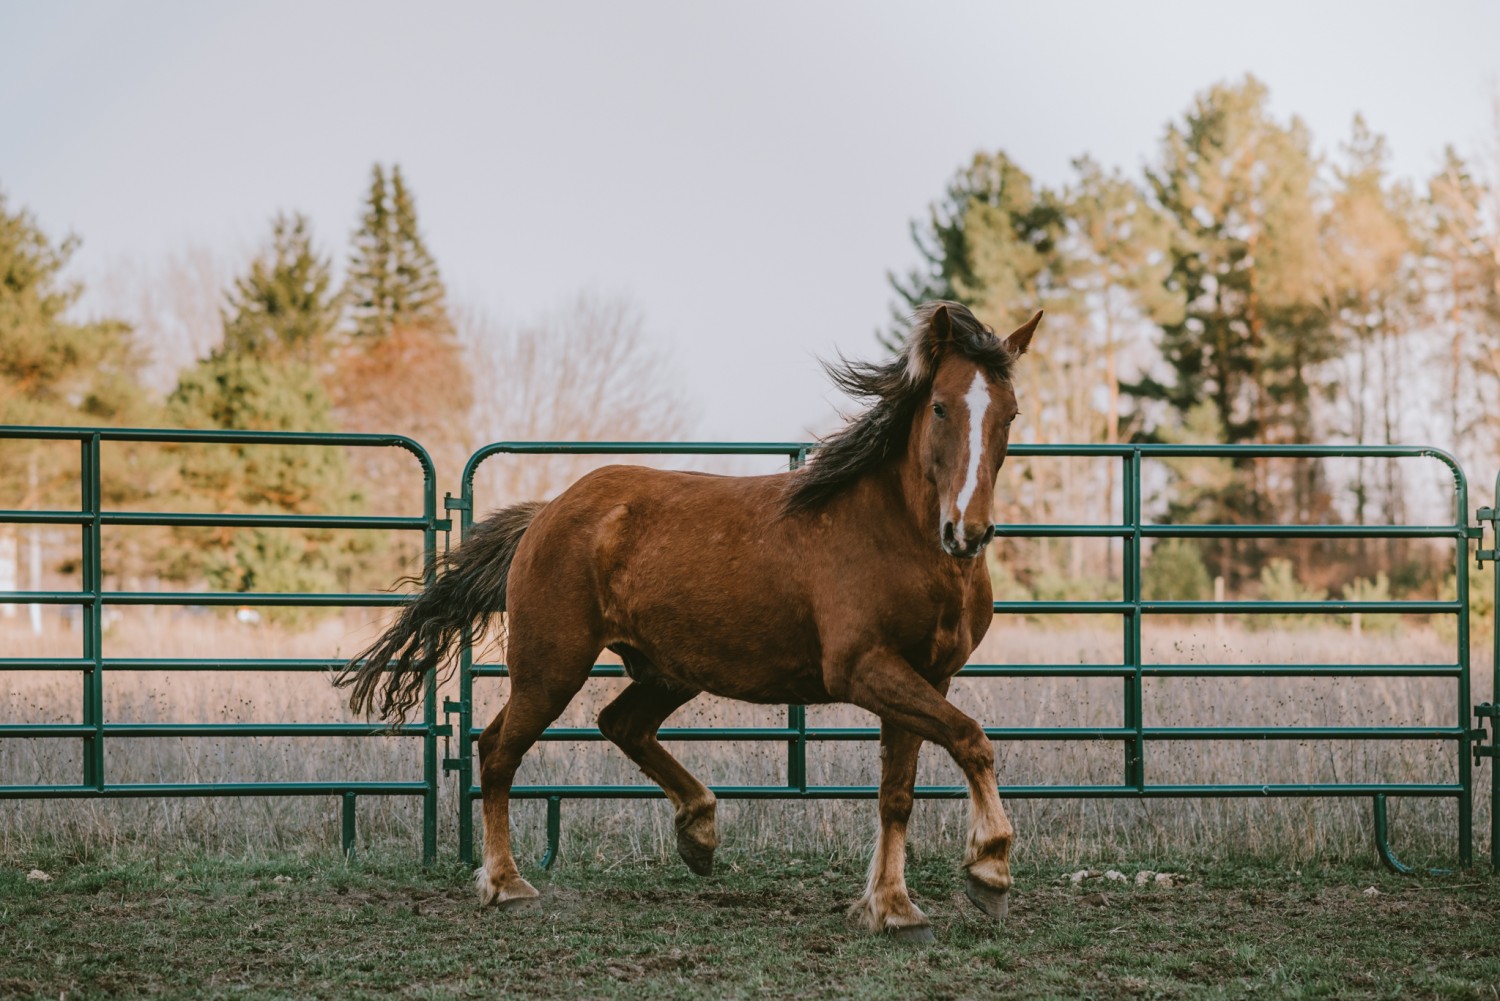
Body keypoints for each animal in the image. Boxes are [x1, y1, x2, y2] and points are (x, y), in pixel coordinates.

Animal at [340, 301, 1044, 942]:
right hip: (550, 669)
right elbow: (972, 739)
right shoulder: (865, 670)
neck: (897, 537)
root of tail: (547, 514)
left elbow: (899, 792)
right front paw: (989, 871)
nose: (967, 532)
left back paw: (699, 831)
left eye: (1010, 413)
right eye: (941, 407)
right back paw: (507, 884)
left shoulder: (926, 676)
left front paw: (894, 908)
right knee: (497, 750)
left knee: (620, 724)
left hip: (668, 671)